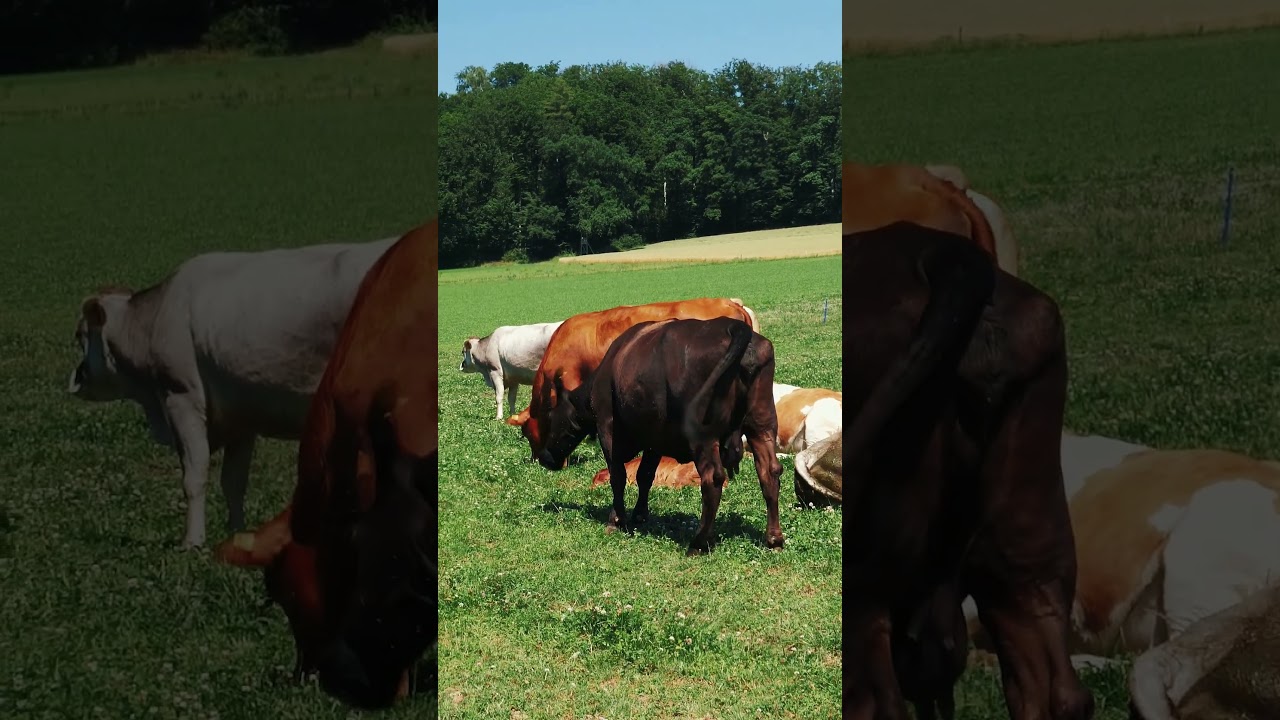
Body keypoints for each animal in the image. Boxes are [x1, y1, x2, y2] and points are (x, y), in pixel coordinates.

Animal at [68, 236, 397, 548]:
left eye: (79, 333)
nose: (75, 377)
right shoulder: (241, 418)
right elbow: (234, 481)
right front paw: (237, 534)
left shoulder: (181, 398)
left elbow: (195, 474)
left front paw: (192, 541)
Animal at [536, 316, 784, 556]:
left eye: (551, 418)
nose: (544, 457)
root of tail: (733, 326)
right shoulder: (654, 439)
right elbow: (645, 475)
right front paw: (639, 515)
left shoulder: (607, 427)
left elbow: (618, 476)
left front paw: (616, 520)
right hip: (761, 424)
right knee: (769, 472)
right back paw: (774, 539)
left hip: (704, 436)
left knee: (713, 478)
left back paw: (698, 543)